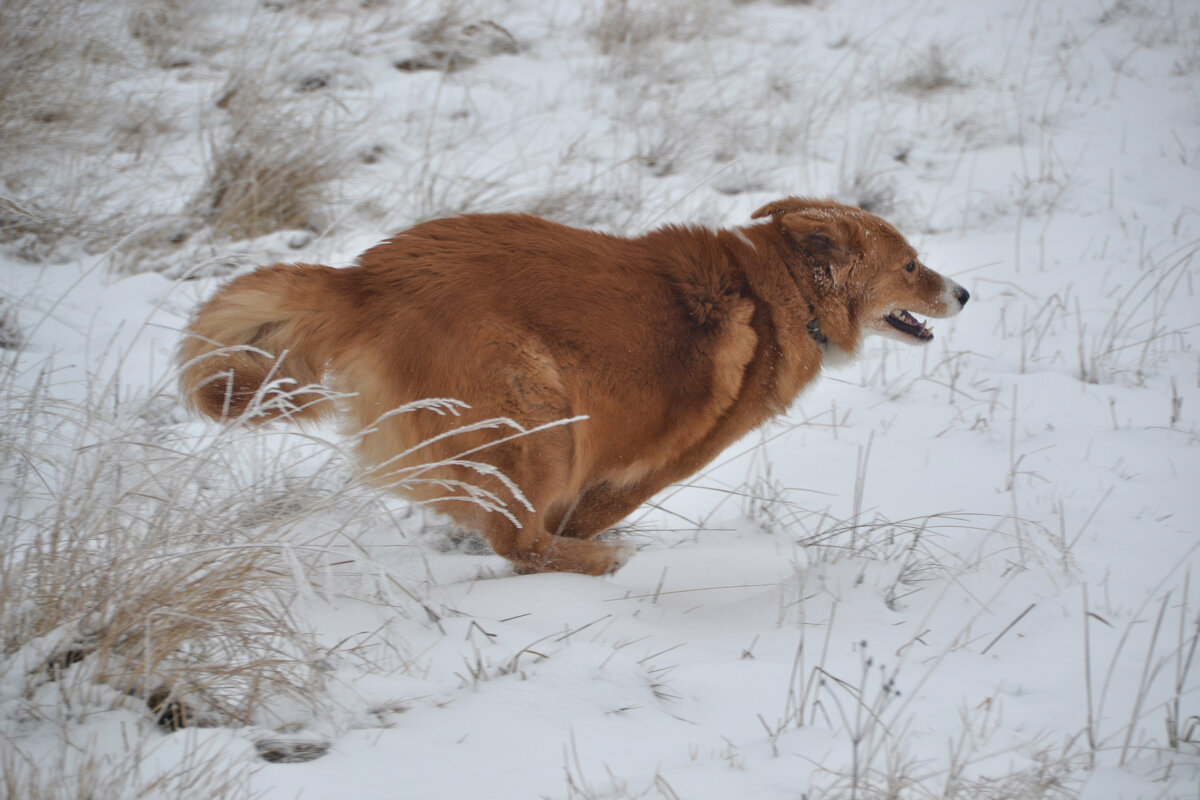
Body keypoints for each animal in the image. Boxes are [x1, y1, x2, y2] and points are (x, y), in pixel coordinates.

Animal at [175, 199, 964, 575]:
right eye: (911, 265)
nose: (963, 292)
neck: (785, 294)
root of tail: (366, 280)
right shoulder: (659, 460)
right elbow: (590, 512)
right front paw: (592, 542)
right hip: (541, 413)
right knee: (519, 541)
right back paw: (596, 563)